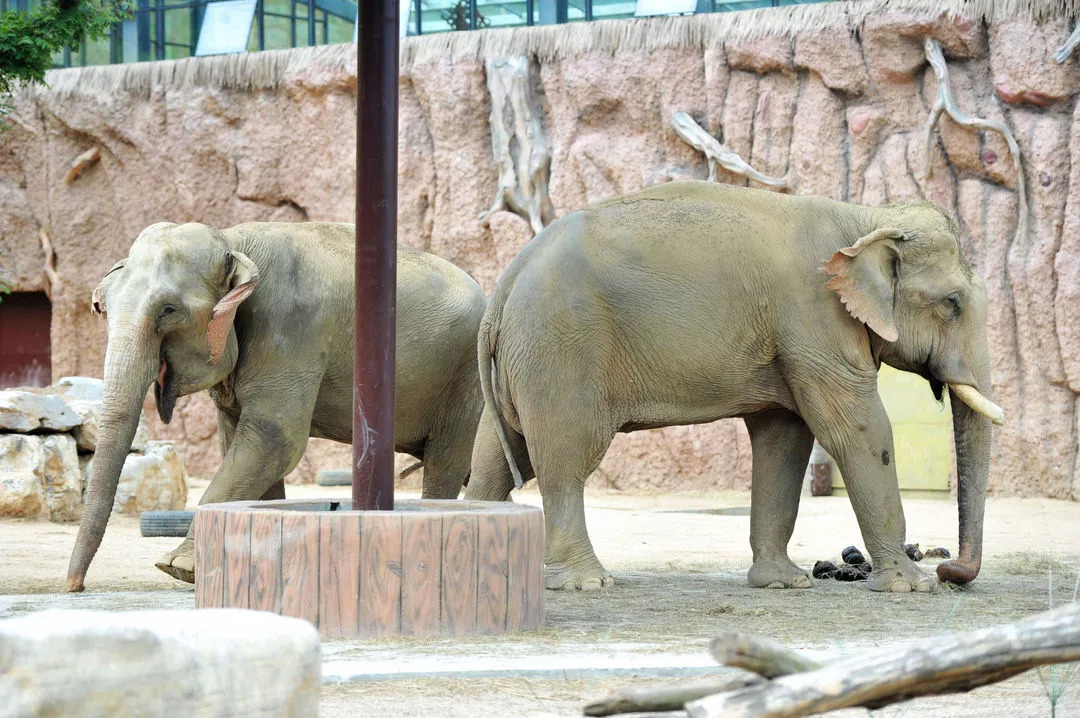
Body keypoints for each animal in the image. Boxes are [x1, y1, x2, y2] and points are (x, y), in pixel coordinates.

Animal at [65, 221, 488, 591]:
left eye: (168, 310)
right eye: (101, 306)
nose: (75, 587)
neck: (233, 242)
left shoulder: (293, 329)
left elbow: (273, 439)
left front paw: (178, 567)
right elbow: (241, 443)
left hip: (466, 378)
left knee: (444, 464)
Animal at [464, 180, 1002, 591]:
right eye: (952, 303)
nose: (949, 569)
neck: (865, 217)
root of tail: (505, 285)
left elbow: (783, 438)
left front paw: (783, 583)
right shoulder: (814, 318)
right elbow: (857, 430)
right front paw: (911, 586)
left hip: (524, 359)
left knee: (495, 455)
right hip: (561, 349)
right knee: (565, 459)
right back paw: (587, 583)